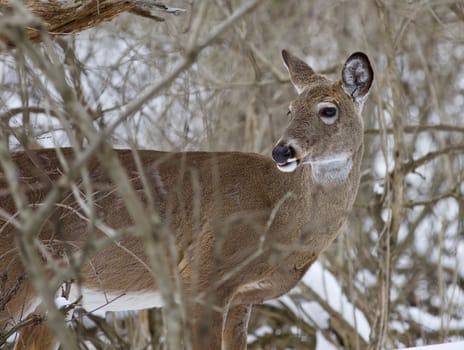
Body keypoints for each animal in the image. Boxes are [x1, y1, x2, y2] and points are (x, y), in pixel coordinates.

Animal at [0, 50, 374, 350]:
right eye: (290, 109)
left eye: (328, 110)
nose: (282, 151)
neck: (283, 219)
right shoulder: (203, 274)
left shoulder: (243, 298)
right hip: (14, 276)